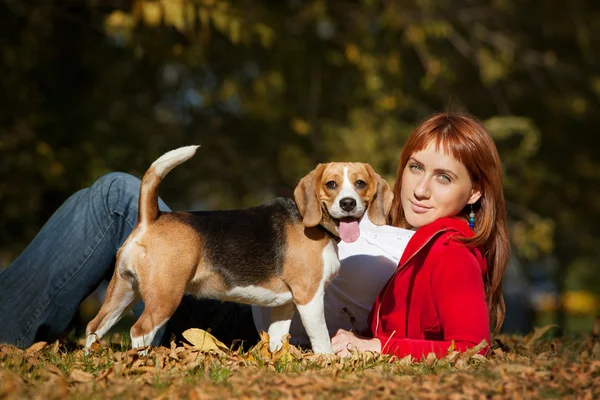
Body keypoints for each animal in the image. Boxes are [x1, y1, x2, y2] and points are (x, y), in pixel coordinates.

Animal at [84, 146, 394, 354]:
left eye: (360, 184)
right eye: (331, 184)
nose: (347, 203)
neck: (318, 225)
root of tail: (152, 217)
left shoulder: (285, 304)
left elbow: (277, 339)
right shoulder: (309, 297)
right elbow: (322, 340)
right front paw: (327, 362)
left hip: (122, 292)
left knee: (94, 326)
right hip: (164, 298)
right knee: (139, 331)